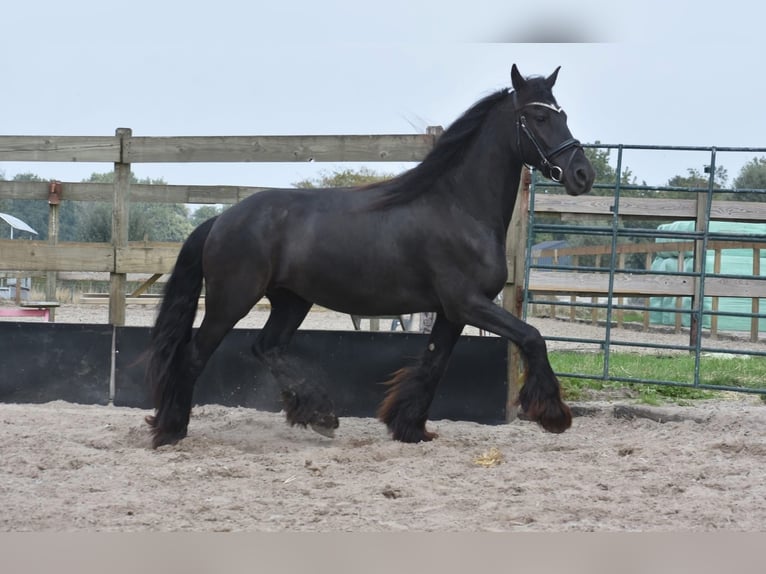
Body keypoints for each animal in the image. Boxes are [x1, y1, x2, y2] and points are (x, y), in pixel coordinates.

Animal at [145, 64, 596, 448]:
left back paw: (319, 415)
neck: (459, 207)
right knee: (194, 355)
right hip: (230, 301)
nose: (582, 175)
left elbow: (433, 365)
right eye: (538, 118)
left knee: (265, 347)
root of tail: (221, 219)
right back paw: (171, 430)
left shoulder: (452, 312)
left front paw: (410, 428)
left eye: (563, 113)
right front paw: (553, 415)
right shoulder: (467, 303)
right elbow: (532, 337)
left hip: (291, 301)